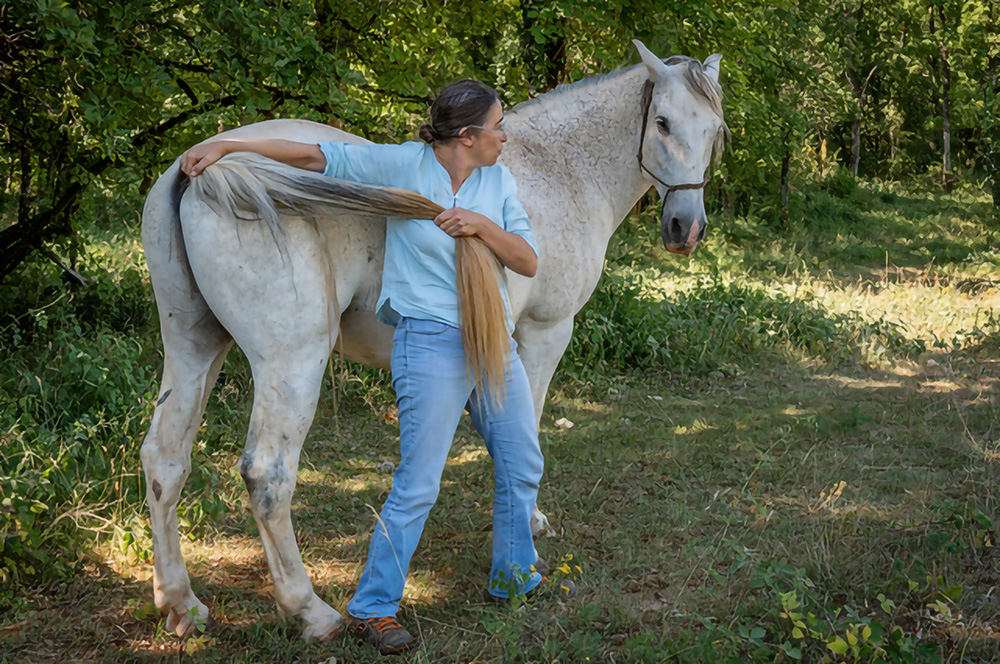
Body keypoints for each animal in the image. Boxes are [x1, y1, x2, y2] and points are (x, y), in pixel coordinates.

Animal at [139, 40, 728, 640]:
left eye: (714, 129)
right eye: (663, 122)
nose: (686, 229)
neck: (561, 169)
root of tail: (205, 167)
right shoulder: (543, 333)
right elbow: (531, 432)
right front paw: (529, 526)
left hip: (193, 346)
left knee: (165, 461)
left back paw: (181, 605)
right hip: (291, 364)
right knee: (267, 478)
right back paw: (311, 611)